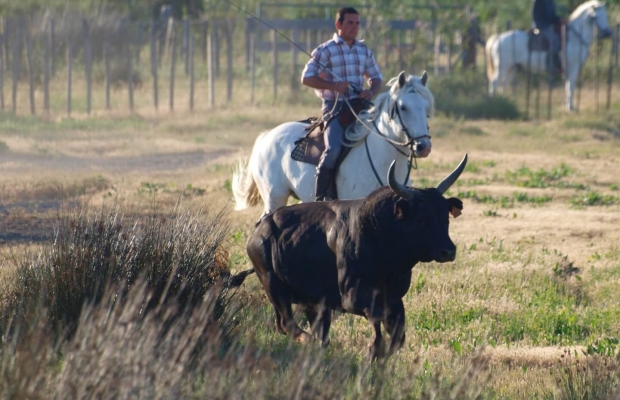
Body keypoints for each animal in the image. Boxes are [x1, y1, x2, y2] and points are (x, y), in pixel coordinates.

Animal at [234, 154, 470, 360]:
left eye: (445, 216)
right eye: (421, 217)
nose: (448, 251)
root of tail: (260, 229)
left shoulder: (394, 300)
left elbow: (397, 339)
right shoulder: (354, 298)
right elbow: (377, 331)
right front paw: (371, 354)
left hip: (313, 302)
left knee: (310, 331)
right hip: (274, 287)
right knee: (287, 324)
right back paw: (309, 341)